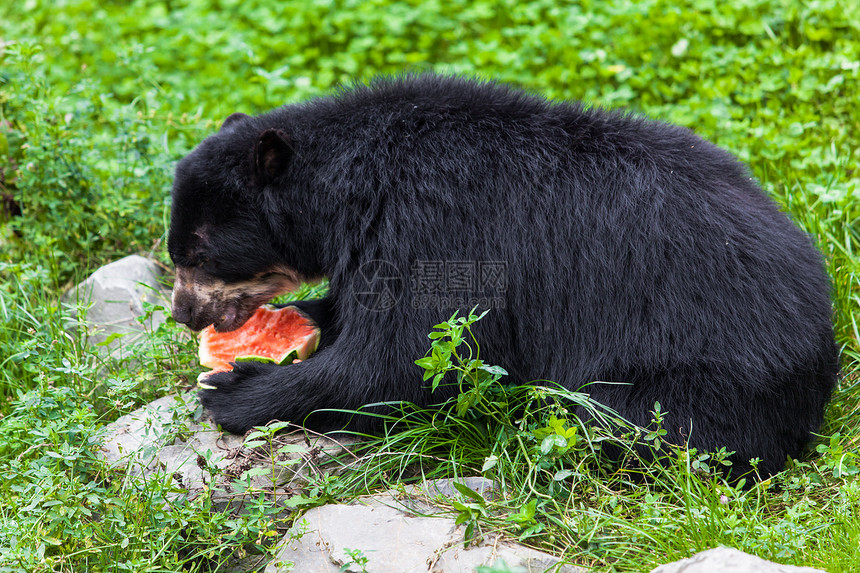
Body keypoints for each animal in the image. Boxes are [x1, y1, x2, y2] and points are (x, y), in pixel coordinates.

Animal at [170, 73, 840, 476]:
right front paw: (290, 326)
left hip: (698, 370)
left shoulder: (435, 226)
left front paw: (236, 388)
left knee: (624, 423)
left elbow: (410, 358)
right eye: (178, 253)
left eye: (198, 254)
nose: (183, 313)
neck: (354, 190)